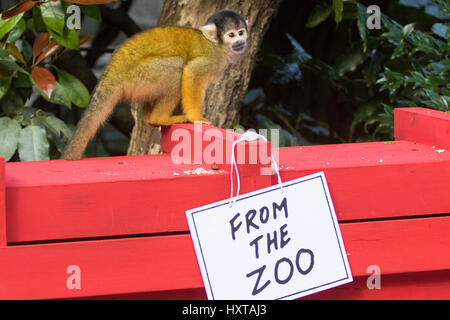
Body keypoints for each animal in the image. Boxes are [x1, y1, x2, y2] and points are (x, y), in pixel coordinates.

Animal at [61, 10, 248, 160]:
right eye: (231, 35)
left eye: (241, 32)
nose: (241, 42)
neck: (218, 45)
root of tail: (112, 71)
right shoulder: (212, 58)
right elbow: (191, 72)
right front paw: (196, 117)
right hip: (139, 76)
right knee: (176, 67)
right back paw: (160, 118)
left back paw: (151, 118)